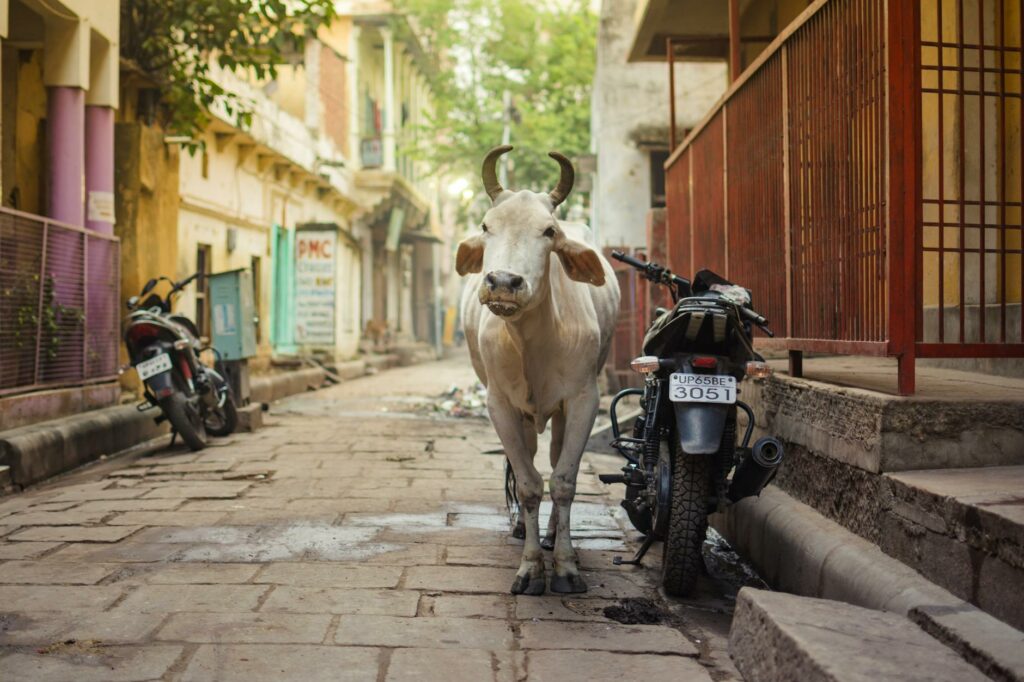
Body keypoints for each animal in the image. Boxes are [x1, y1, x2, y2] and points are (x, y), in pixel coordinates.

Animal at [456, 145, 620, 595]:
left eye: (549, 231)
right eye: (486, 225)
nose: (503, 282)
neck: (531, 340)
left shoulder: (583, 401)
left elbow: (563, 481)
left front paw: (564, 566)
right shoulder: (499, 404)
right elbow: (529, 482)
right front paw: (530, 568)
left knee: (555, 456)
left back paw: (550, 535)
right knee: (526, 460)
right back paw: (522, 530)